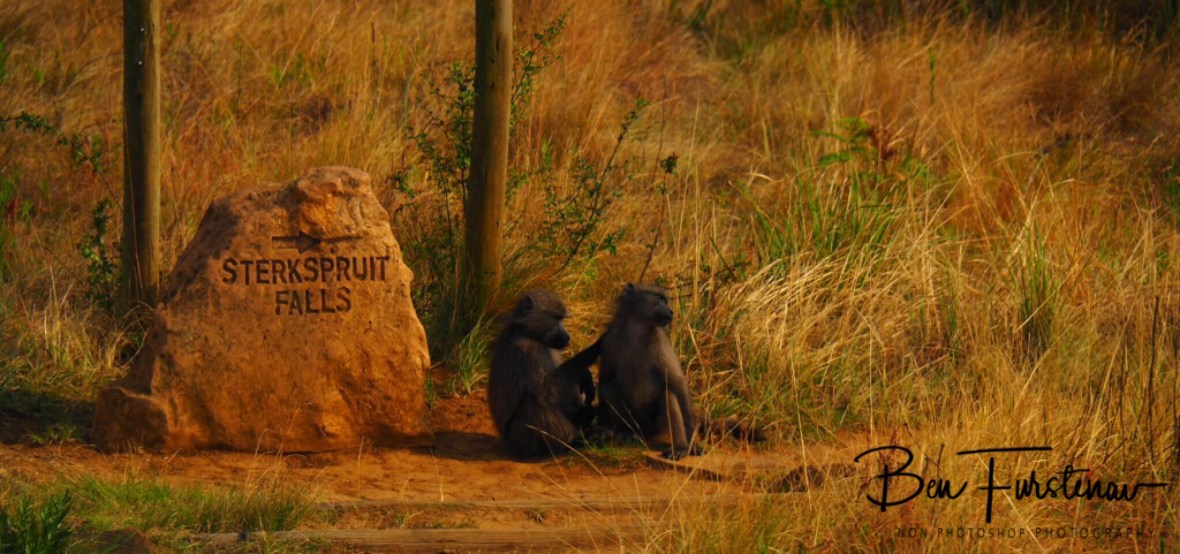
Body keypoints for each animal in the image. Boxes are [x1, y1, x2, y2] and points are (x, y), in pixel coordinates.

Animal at [487, 290, 601, 458]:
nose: (567, 337)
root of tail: (508, 443)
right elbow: (547, 389)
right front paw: (598, 345)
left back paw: (585, 417)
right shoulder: (526, 351)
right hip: (521, 440)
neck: (530, 334)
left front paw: (586, 375)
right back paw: (573, 442)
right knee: (533, 401)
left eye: (562, 318)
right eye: (556, 318)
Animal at [596, 283, 767, 460]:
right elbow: (604, 379)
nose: (671, 311)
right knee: (609, 388)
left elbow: (677, 383)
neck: (636, 329)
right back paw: (627, 432)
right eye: (659, 298)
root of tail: (644, 431)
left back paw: (680, 446)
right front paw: (602, 428)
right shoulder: (609, 340)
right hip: (637, 422)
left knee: (668, 396)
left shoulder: (660, 343)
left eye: (665, 300)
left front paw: (692, 444)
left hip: (657, 427)